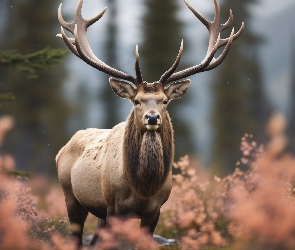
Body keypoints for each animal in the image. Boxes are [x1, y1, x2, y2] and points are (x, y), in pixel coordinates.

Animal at [56, 0, 244, 246]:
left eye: (165, 100)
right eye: (136, 100)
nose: (152, 117)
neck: (144, 188)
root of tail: (61, 150)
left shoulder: (155, 210)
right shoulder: (114, 207)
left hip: (100, 214)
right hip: (71, 197)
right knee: (76, 238)